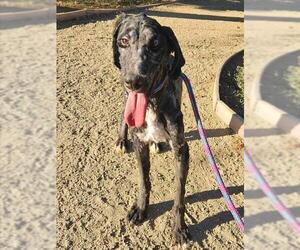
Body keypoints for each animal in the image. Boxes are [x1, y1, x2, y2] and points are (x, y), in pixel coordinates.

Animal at [112, 12, 190, 245]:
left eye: (155, 44)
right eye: (123, 41)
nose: (134, 81)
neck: (152, 103)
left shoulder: (181, 149)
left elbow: (179, 193)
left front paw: (179, 227)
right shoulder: (139, 144)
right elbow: (143, 181)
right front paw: (141, 209)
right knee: (123, 117)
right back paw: (122, 139)